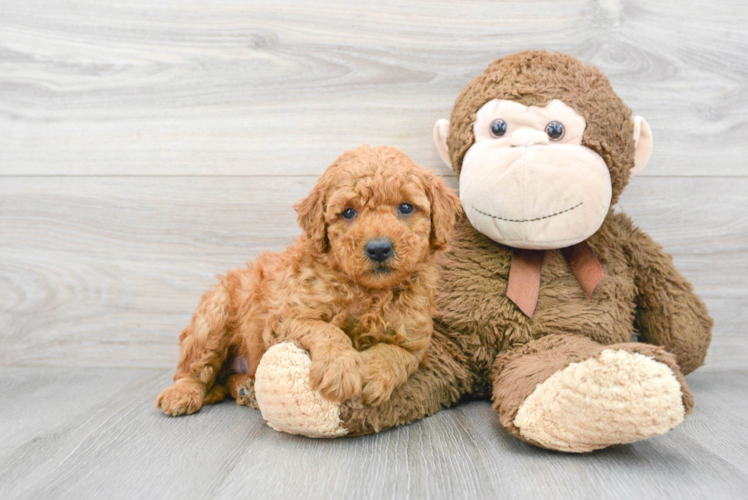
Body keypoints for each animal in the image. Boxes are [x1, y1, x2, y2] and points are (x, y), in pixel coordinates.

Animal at [156, 144, 462, 414]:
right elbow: (326, 329)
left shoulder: (416, 343)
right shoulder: (284, 318)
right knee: (193, 369)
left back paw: (246, 388)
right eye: (348, 212)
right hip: (213, 316)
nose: (378, 248)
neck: (368, 292)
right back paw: (182, 394)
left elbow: (396, 353)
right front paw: (340, 369)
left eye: (406, 207)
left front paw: (371, 375)